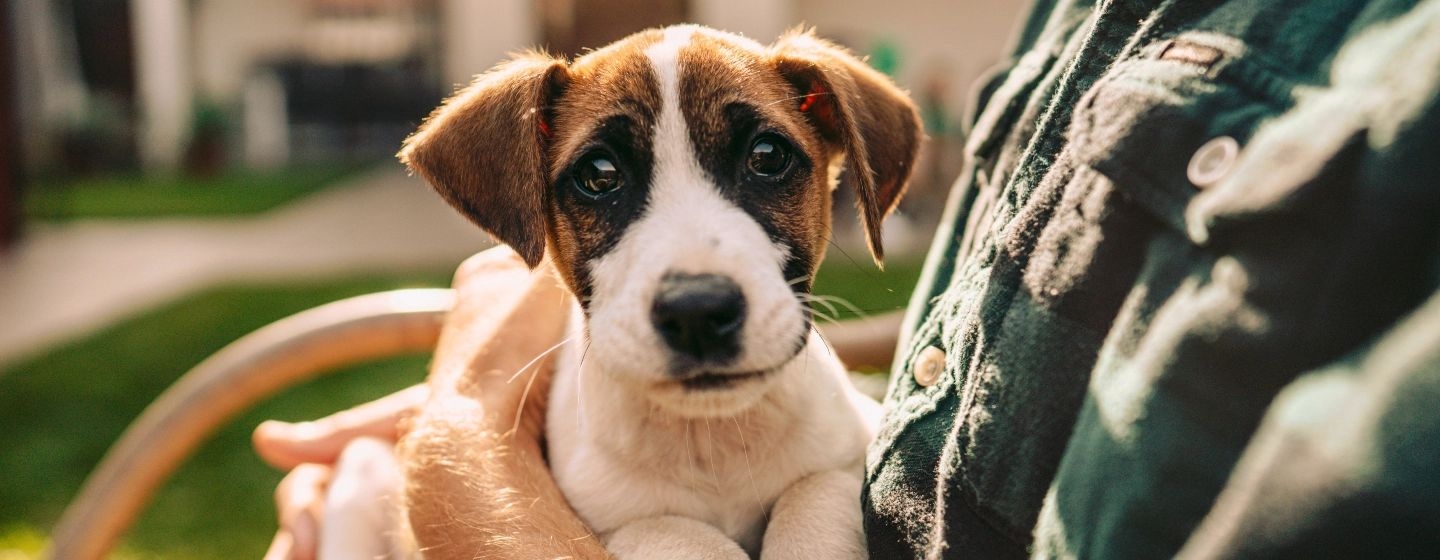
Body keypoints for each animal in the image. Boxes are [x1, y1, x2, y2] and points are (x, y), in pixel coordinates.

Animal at [328, 23, 921, 555]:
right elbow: (673, 532)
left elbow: (814, 495)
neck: (711, 438)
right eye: (599, 174)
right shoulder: (616, 519)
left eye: (768, 156)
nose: (698, 312)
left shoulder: (841, 455)